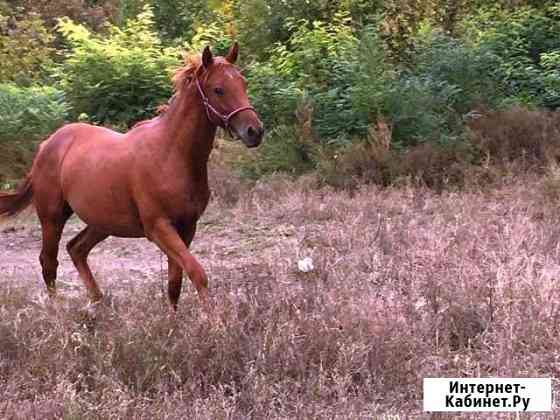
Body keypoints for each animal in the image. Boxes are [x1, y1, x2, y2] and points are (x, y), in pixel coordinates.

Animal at [0, 44, 264, 310]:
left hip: (102, 221)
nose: (255, 131)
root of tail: (47, 144)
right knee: (49, 262)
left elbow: (175, 283)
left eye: (243, 83)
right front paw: (213, 318)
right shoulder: (158, 227)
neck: (171, 155)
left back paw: (98, 302)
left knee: (76, 249)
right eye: (218, 89)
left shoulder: (187, 226)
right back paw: (58, 309)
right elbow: (197, 272)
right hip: (52, 217)